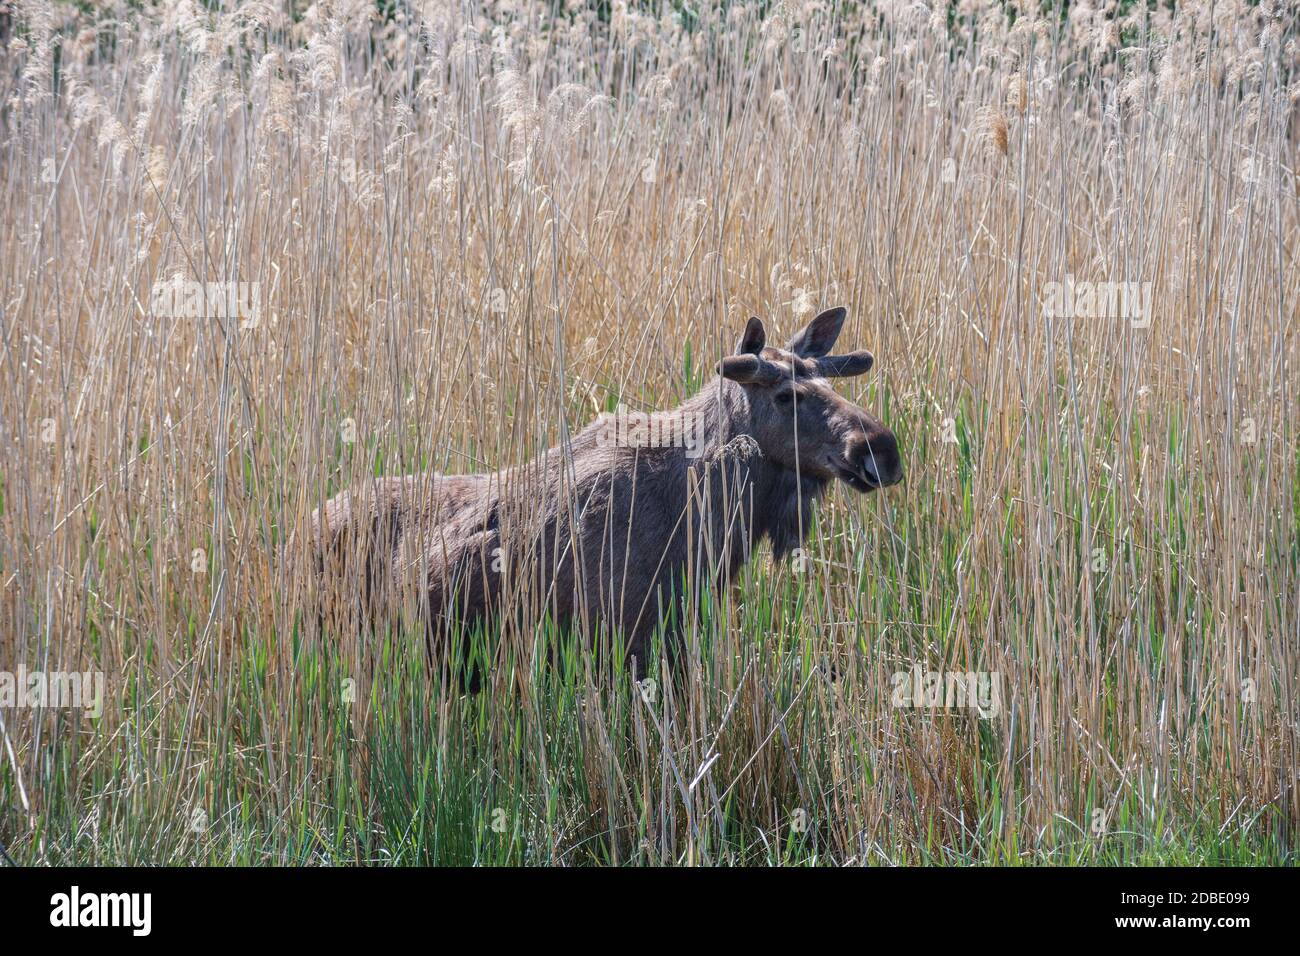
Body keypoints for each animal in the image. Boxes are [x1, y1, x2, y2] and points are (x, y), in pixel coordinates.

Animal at [310, 306, 903, 680]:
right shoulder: (622, 636)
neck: (707, 509)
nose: (880, 449)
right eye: (785, 396)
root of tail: (306, 527)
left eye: (829, 383)